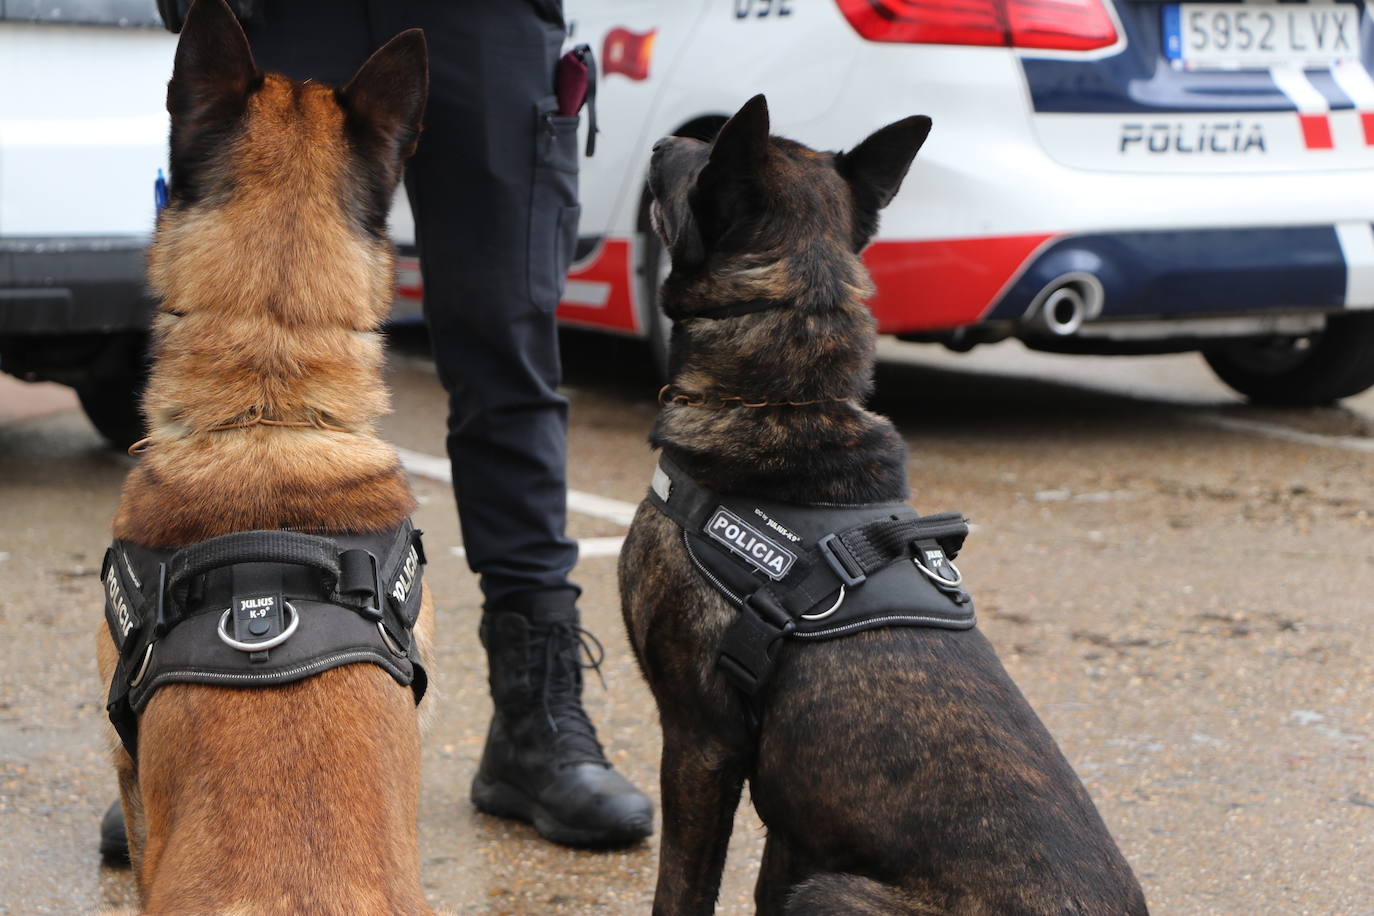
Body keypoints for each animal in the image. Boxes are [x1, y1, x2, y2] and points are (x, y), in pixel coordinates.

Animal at [621, 94, 1148, 916]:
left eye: (700, 157)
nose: (664, 139)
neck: (789, 397)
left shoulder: (700, 743)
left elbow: (682, 890)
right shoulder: (793, 823)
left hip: (833, 893)